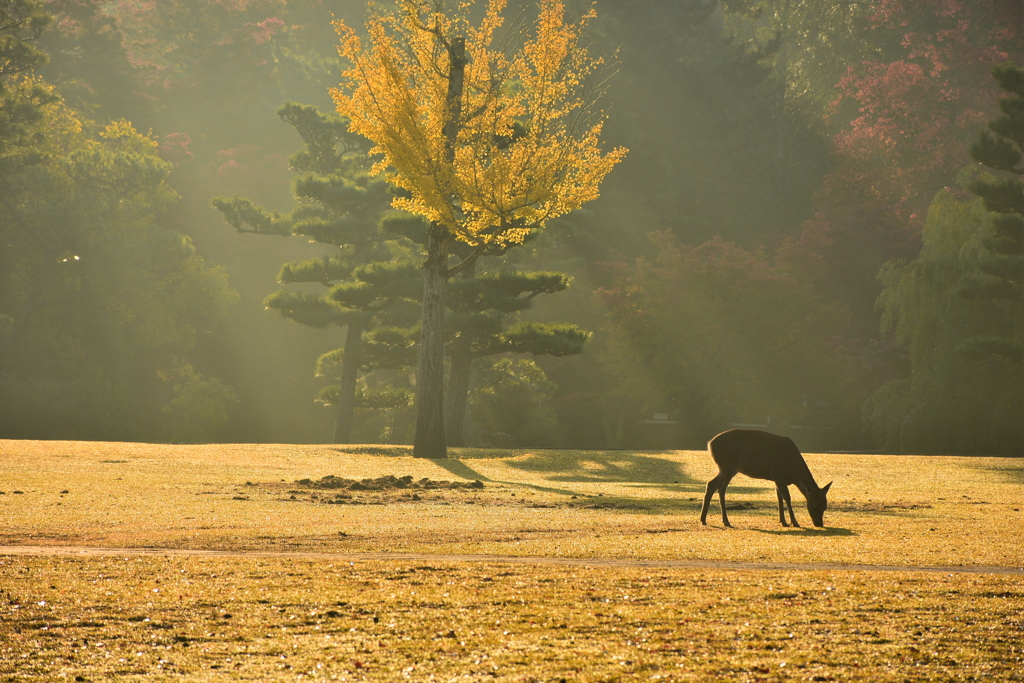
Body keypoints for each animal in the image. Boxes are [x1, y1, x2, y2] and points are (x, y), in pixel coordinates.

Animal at [696, 430, 831, 532]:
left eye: (825, 506)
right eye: (814, 506)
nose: (819, 524)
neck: (793, 473)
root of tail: (710, 444)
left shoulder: (777, 479)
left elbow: (779, 498)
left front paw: (783, 521)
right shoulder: (778, 475)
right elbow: (787, 498)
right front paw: (795, 522)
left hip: (723, 468)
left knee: (711, 483)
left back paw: (703, 519)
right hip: (729, 466)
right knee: (721, 487)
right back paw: (726, 521)